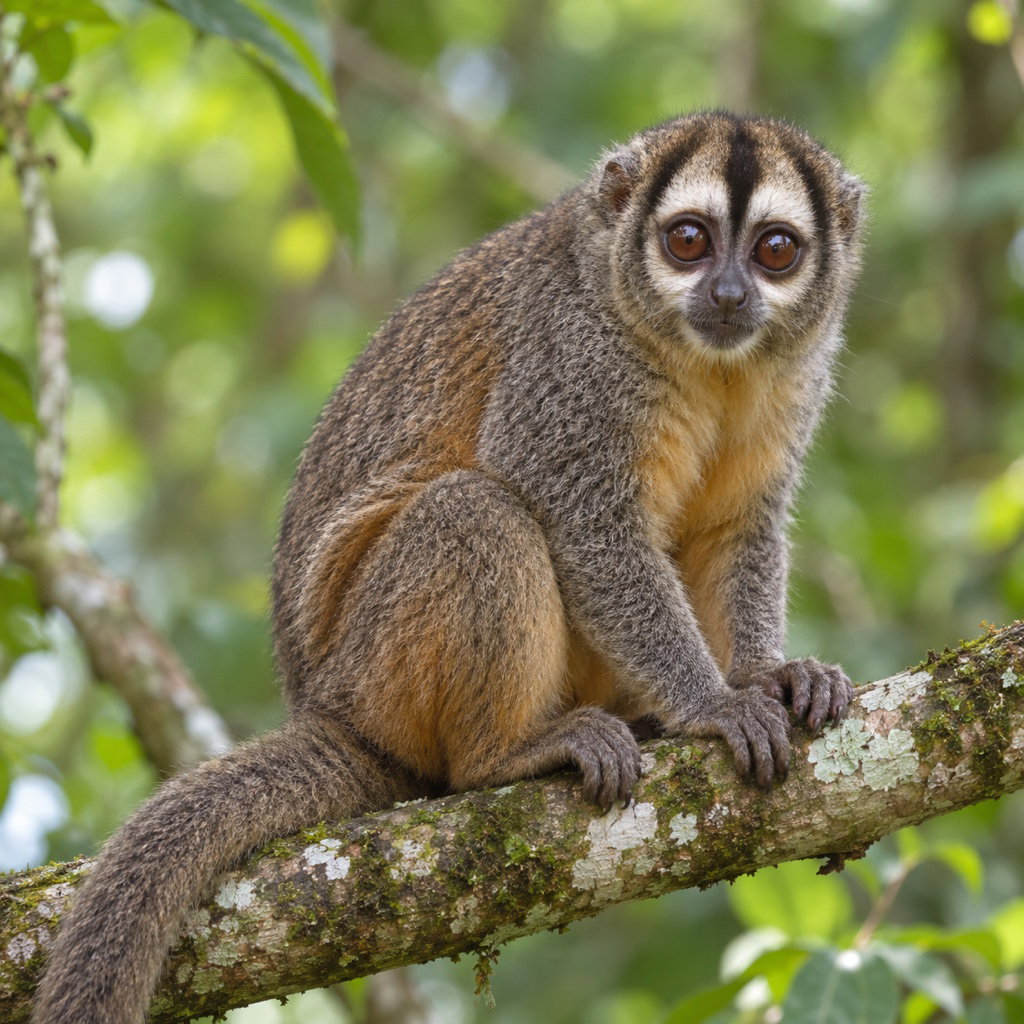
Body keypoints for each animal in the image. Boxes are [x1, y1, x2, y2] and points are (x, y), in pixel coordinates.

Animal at [30, 111, 864, 1023]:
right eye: (688, 240)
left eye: (775, 251)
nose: (728, 294)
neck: (698, 356)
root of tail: (329, 713)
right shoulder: (572, 363)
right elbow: (578, 514)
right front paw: (714, 705)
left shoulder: (799, 373)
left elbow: (739, 526)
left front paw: (771, 676)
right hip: (376, 677)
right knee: (477, 512)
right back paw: (505, 756)